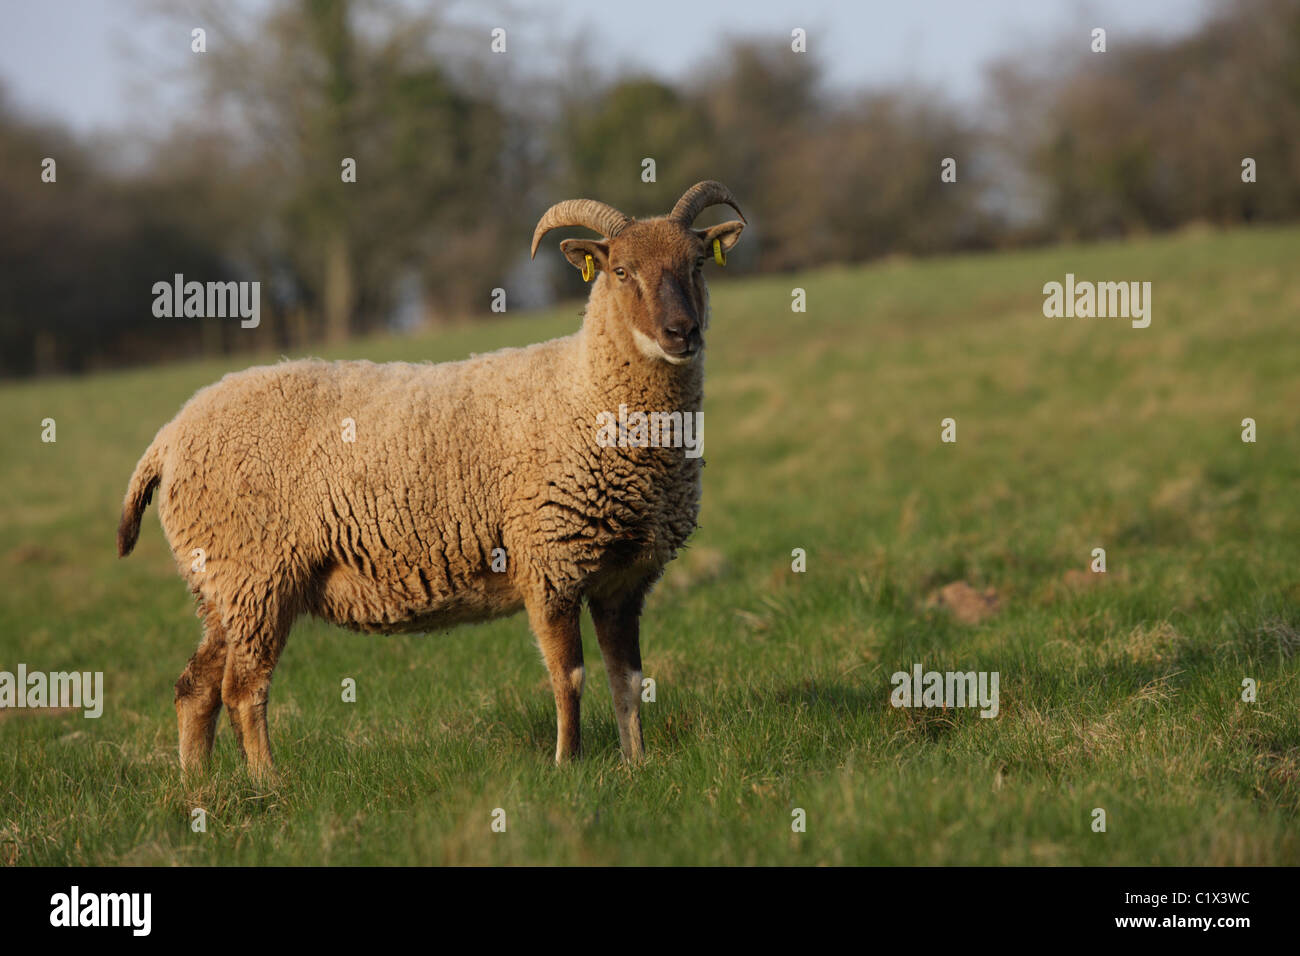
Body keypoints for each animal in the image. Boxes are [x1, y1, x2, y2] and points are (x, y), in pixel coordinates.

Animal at [117, 181, 746, 777]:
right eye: (620, 271)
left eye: (697, 263)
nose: (681, 333)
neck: (583, 387)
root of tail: (168, 436)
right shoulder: (549, 563)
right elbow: (568, 678)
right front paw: (569, 764)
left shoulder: (624, 579)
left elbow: (628, 681)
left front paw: (634, 764)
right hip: (255, 575)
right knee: (242, 689)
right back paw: (268, 781)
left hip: (222, 586)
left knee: (195, 689)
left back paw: (201, 787)